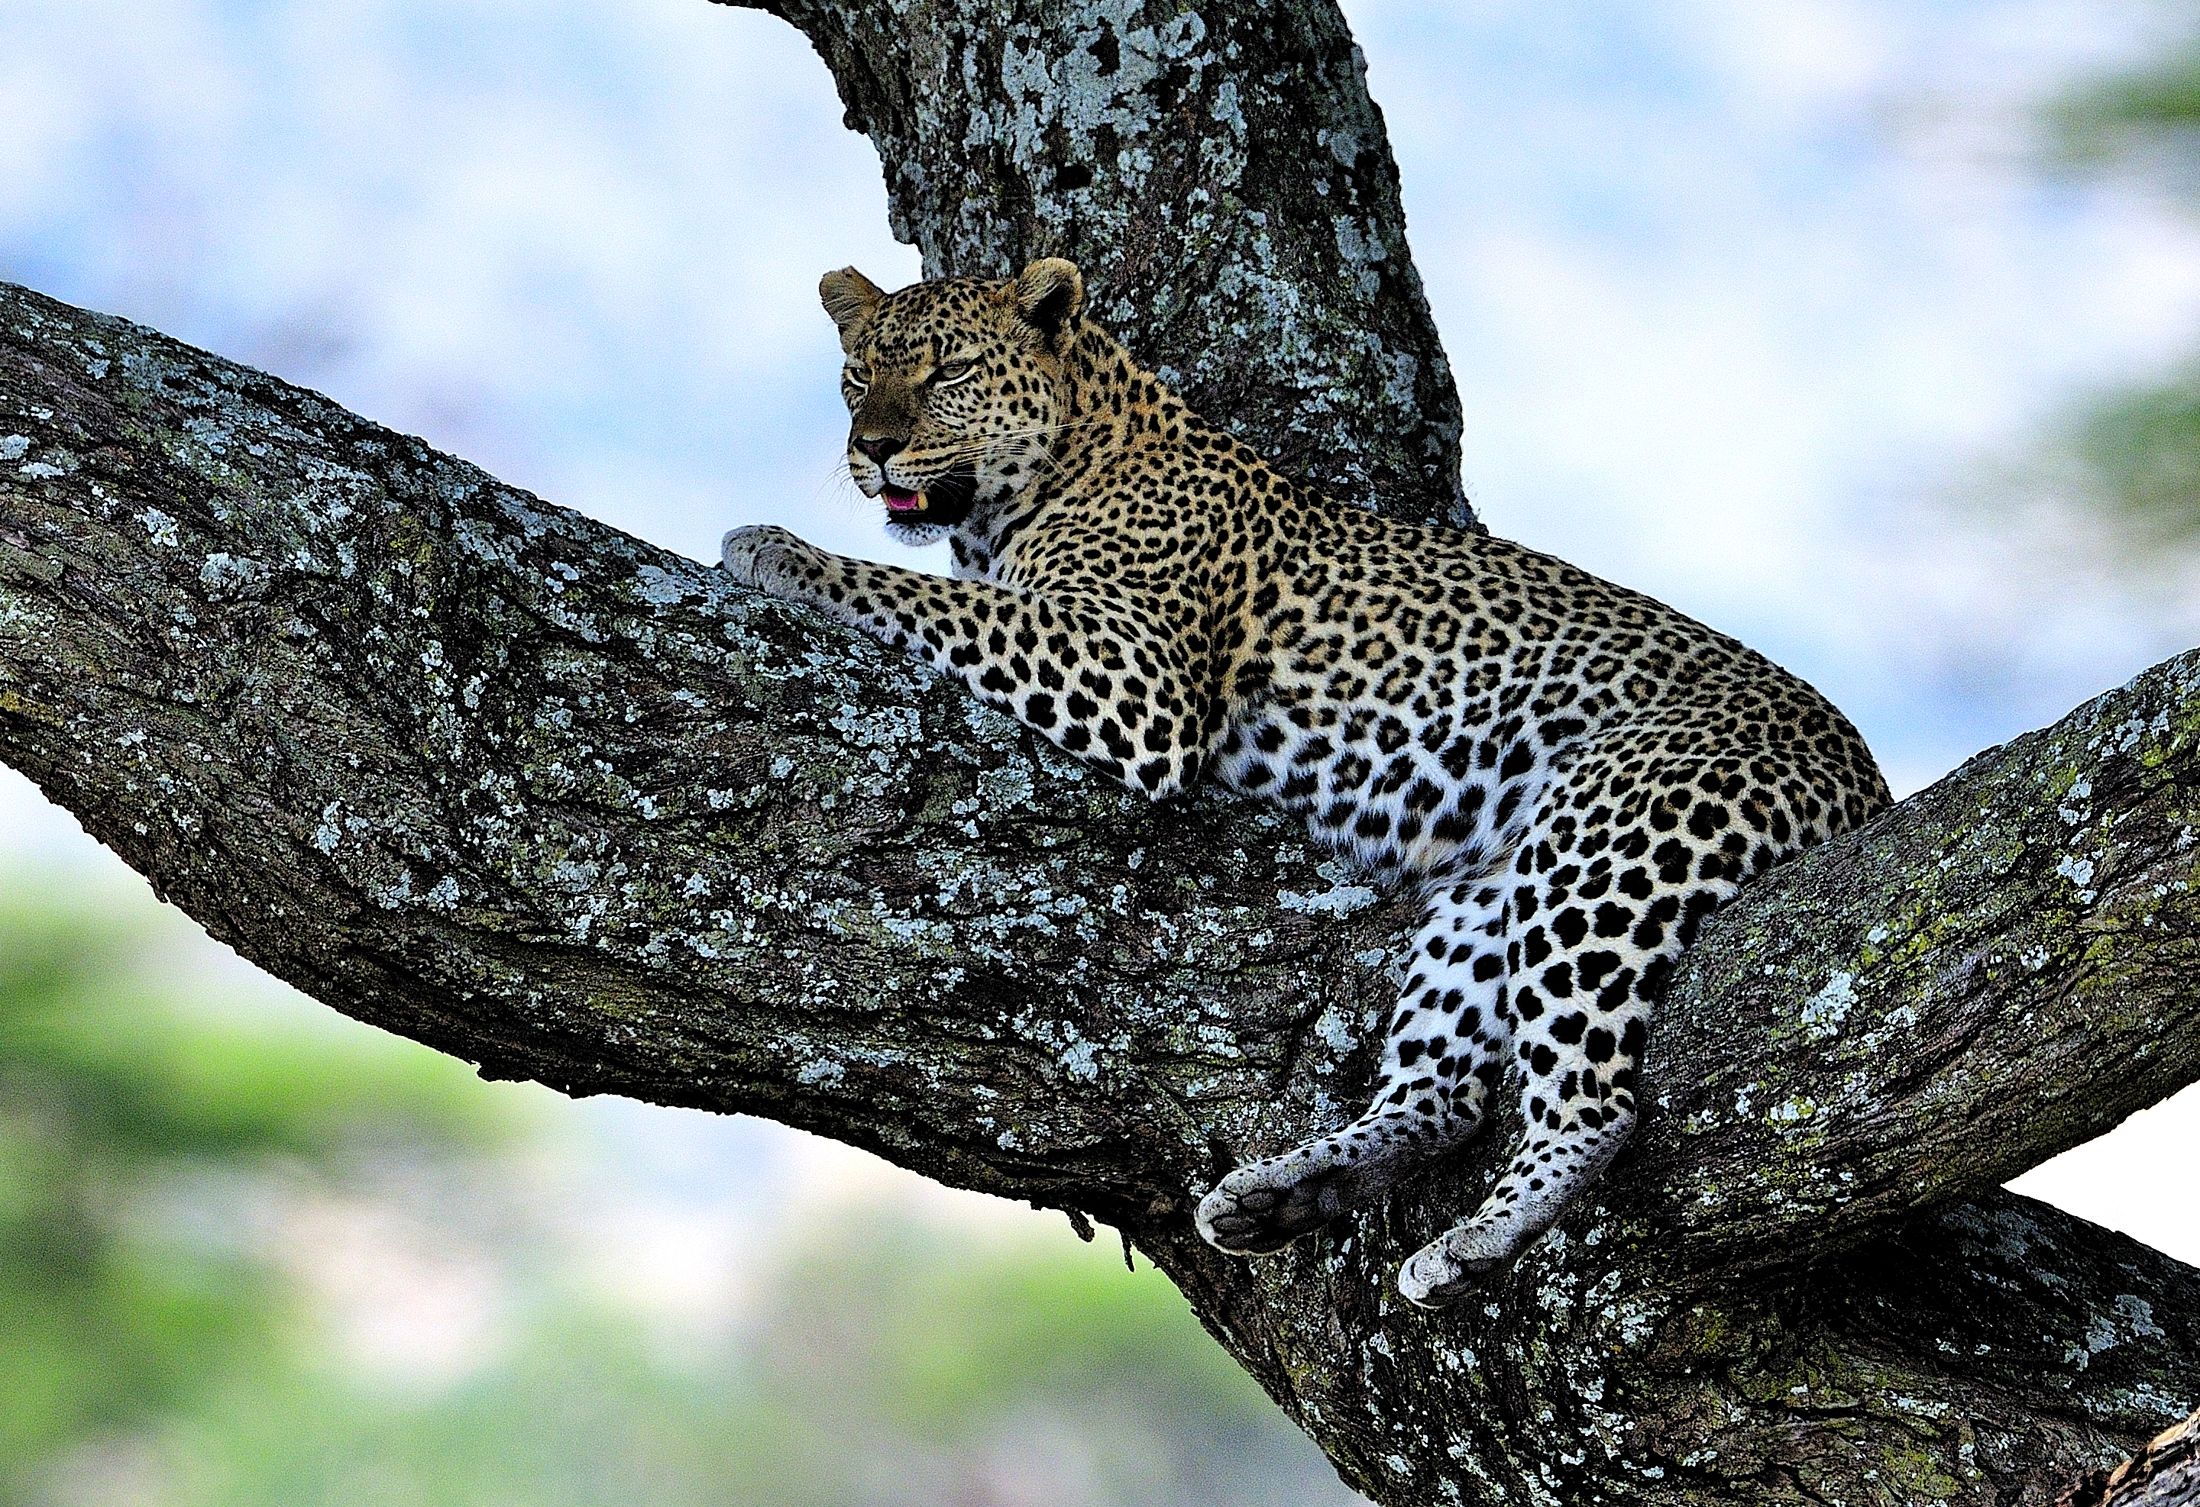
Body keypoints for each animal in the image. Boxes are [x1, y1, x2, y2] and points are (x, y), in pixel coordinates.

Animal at [720, 256, 1890, 1307]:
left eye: (950, 369)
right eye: (856, 375)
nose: (870, 449)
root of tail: (1863, 770)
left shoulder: (1131, 672)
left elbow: (924, 594)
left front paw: (776, 549)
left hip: (1613, 841)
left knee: (1593, 1103)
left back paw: (1474, 1243)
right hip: (1495, 890)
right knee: (1447, 1092)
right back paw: (1286, 1194)